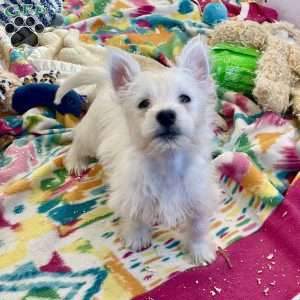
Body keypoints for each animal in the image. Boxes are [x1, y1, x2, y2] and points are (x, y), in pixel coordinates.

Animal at [54, 36, 219, 264]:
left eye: (185, 98)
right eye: (143, 103)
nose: (166, 115)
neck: (167, 160)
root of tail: (106, 82)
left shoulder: (199, 195)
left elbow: (198, 227)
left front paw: (200, 251)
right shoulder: (131, 194)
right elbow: (135, 217)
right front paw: (136, 238)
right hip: (90, 133)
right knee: (77, 142)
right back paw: (76, 162)